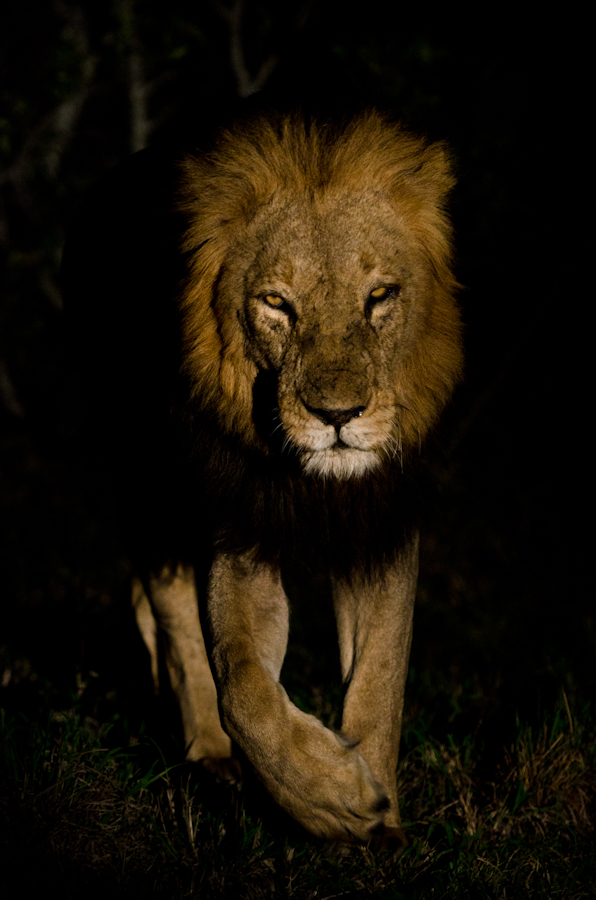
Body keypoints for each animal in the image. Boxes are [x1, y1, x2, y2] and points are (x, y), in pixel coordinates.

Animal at [62, 111, 462, 847]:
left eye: (380, 296)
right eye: (277, 302)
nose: (338, 417)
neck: (315, 483)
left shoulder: (380, 525)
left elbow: (382, 675)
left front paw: (382, 816)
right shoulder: (239, 529)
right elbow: (242, 685)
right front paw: (333, 801)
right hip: (143, 477)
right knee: (172, 613)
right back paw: (210, 757)